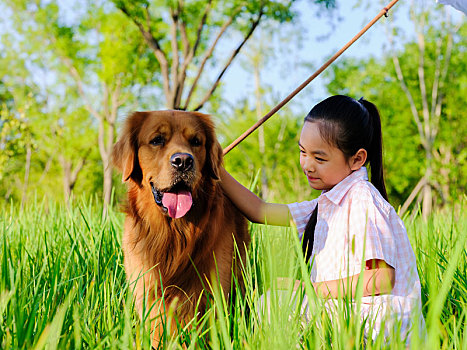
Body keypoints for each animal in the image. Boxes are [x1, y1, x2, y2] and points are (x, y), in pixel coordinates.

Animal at [112, 110, 250, 346]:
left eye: (196, 141)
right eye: (157, 140)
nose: (183, 161)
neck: (173, 233)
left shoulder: (213, 289)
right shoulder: (147, 290)